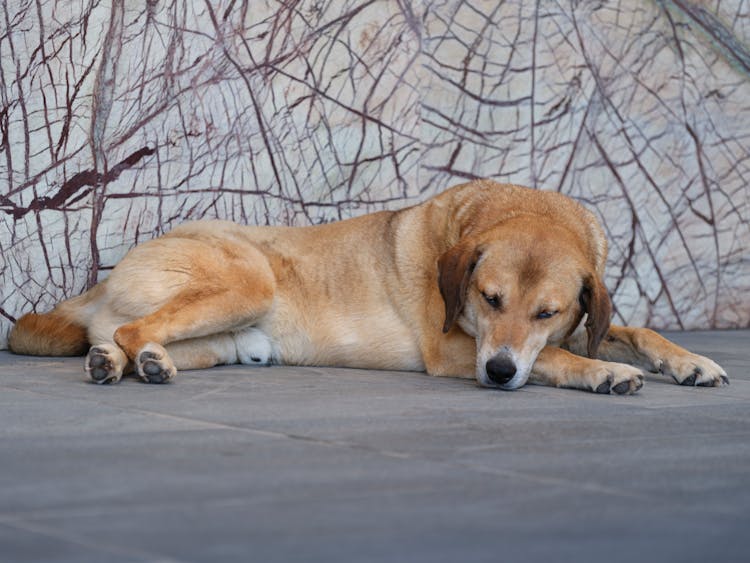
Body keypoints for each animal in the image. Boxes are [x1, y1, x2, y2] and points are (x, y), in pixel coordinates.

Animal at [8, 181, 732, 392]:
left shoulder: (581, 319)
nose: (499, 373)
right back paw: (128, 361)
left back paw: (128, 362)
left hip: (225, 339)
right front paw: (600, 373)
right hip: (248, 282)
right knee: (131, 328)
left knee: (129, 337)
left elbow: (628, 329)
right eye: (490, 300)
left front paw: (690, 360)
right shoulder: (454, 350)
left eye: (547, 309)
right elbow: (558, 357)